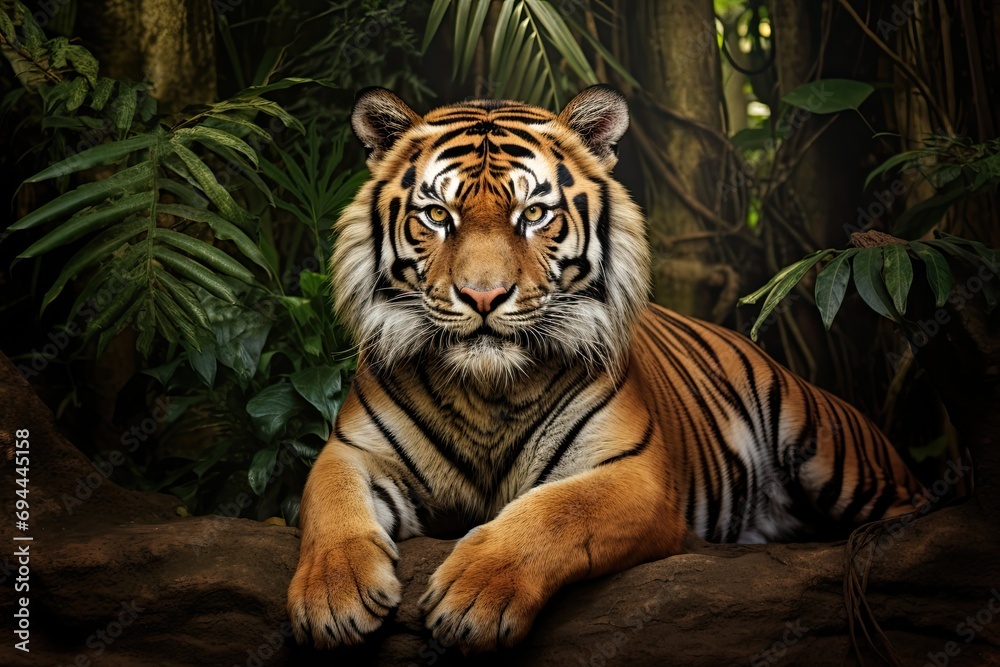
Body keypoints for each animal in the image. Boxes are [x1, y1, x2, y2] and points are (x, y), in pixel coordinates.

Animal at [286, 85, 927, 653]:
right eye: (438, 215)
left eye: (534, 213)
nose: (483, 296)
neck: (488, 390)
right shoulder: (351, 449)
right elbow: (330, 504)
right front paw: (333, 598)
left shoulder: (633, 472)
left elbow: (555, 514)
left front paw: (472, 599)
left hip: (832, 448)